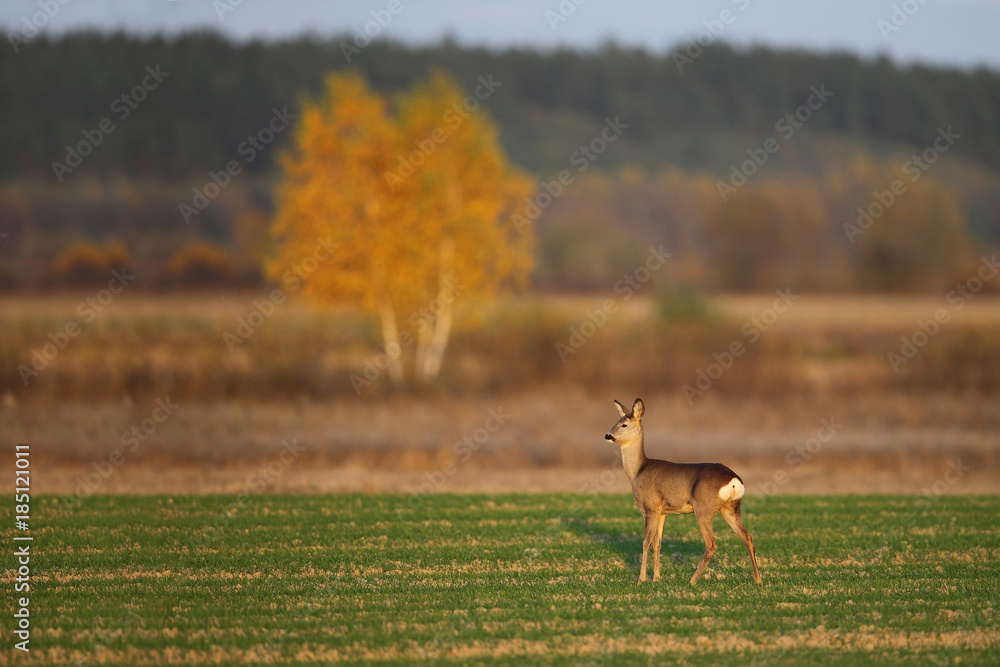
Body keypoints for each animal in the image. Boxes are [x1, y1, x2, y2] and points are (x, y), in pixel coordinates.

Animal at [605, 398, 762, 586]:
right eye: (616, 421)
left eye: (624, 424)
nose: (607, 435)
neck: (638, 471)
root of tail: (734, 480)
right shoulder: (662, 512)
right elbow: (657, 543)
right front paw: (656, 578)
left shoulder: (650, 508)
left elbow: (646, 542)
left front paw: (641, 579)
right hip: (731, 509)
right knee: (748, 538)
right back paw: (758, 580)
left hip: (703, 509)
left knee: (711, 544)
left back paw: (692, 580)